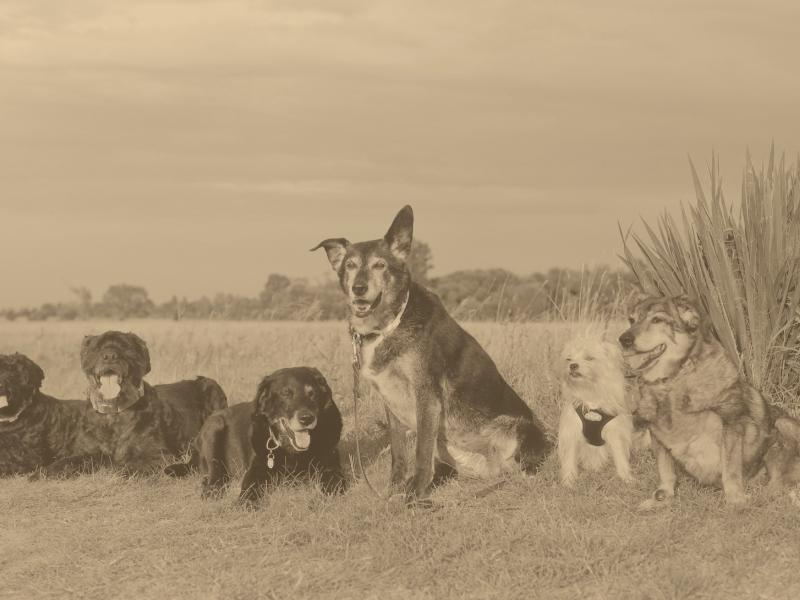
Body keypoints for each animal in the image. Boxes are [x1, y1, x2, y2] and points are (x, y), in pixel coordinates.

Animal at [14, 332, 228, 478]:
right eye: (97, 347)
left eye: (125, 347)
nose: (109, 356)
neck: (113, 414)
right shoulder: (85, 451)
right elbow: (67, 461)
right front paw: (42, 473)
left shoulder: (159, 456)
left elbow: (123, 466)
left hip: (211, 386)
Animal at [166, 366, 344, 502]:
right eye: (286, 393)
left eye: (312, 393)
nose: (307, 418)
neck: (292, 452)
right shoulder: (256, 468)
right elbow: (250, 486)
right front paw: (246, 502)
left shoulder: (331, 467)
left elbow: (334, 484)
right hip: (213, 428)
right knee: (214, 471)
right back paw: (211, 488)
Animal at [310, 204, 552, 504]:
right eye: (350, 266)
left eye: (380, 265)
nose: (359, 290)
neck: (388, 325)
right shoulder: (391, 401)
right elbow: (399, 452)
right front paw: (395, 487)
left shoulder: (426, 395)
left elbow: (421, 454)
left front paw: (414, 495)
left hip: (516, 427)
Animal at [556, 332, 632, 488]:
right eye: (568, 359)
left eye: (589, 358)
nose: (572, 365)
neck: (590, 395)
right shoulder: (572, 432)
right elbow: (569, 458)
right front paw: (568, 481)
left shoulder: (614, 432)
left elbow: (620, 455)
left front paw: (625, 478)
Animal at [620, 294, 800, 506]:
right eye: (631, 320)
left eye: (657, 320)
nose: (624, 339)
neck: (674, 380)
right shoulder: (656, 432)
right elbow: (665, 470)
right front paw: (663, 497)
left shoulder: (730, 425)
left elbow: (730, 469)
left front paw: (735, 500)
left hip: (783, 426)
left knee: (777, 481)